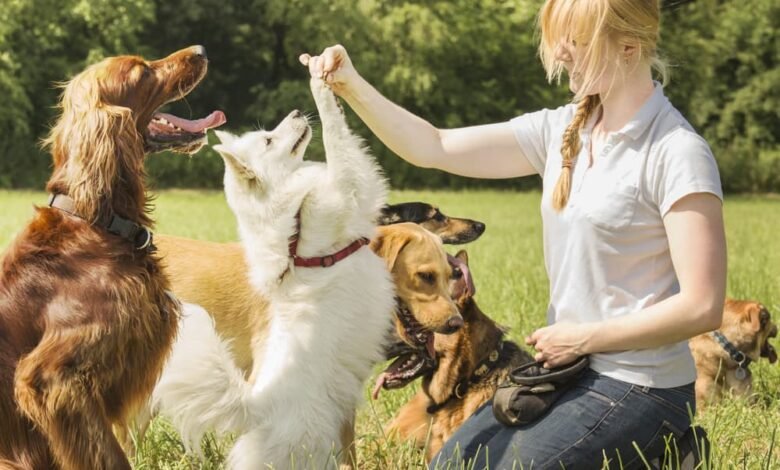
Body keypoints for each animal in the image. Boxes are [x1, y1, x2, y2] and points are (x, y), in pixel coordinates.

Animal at [152, 79, 396, 468]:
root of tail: (256, 407)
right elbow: (337, 136)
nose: (295, 112)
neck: (294, 214)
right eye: (268, 140)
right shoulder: (351, 188)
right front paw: (322, 88)